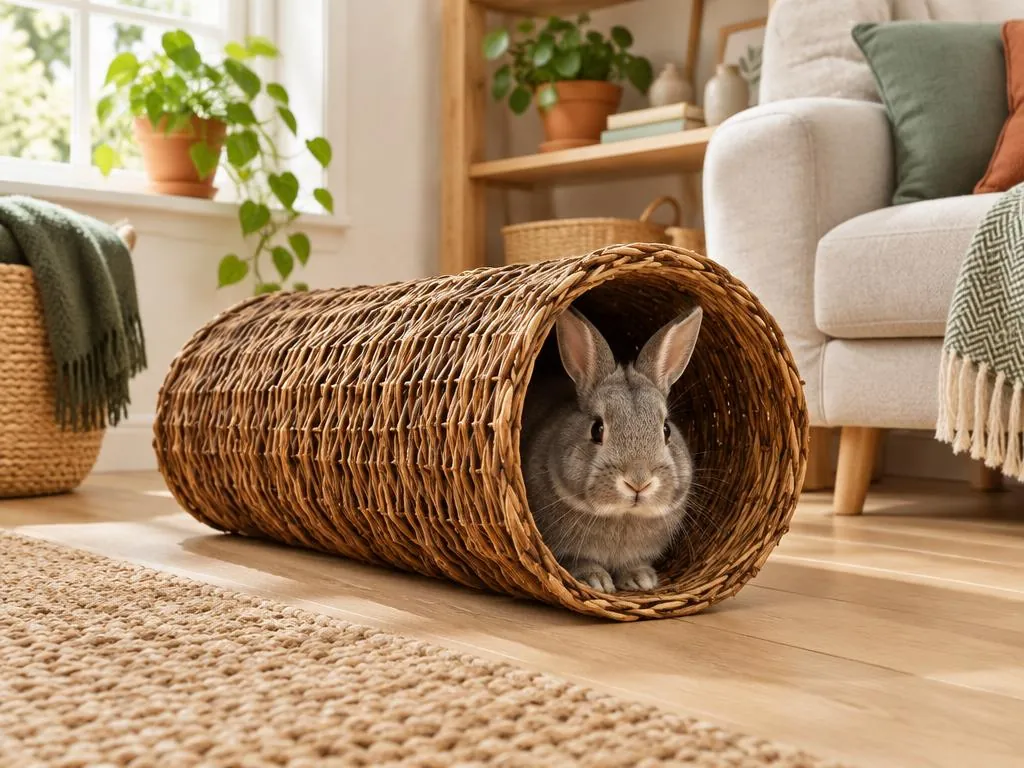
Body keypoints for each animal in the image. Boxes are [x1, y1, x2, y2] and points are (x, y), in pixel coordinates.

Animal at [521, 304, 702, 593]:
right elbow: (579, 561)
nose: (638, 482)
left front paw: (641, 580)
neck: (623, 515)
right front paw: (597, 581)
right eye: (597, 429)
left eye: (666, 430)